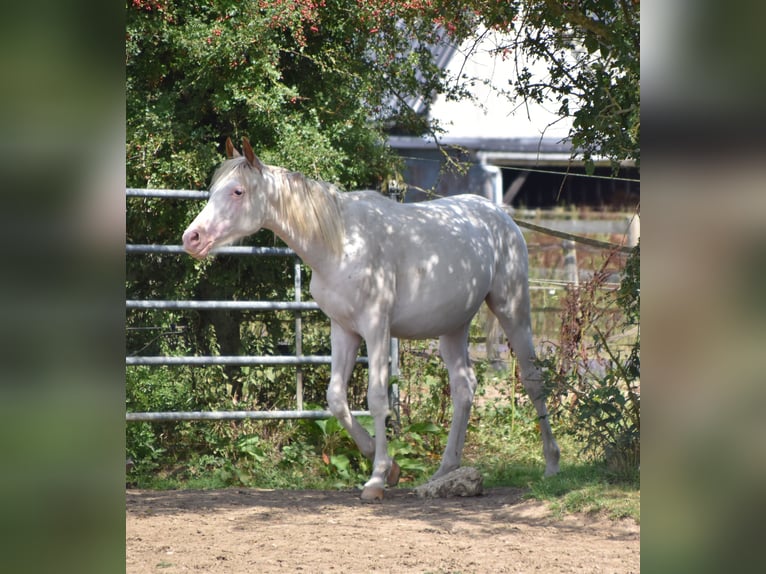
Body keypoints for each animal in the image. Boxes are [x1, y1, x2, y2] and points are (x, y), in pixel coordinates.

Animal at [183, 137, 560, 502]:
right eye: (214, 189)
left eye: (238, 191)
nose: (192, 238)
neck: (341, 244)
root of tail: (500, 216)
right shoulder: (343, 330)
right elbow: (336, 398)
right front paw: (390, 469)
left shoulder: (376, 327)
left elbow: (377, 398)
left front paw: (377, 479)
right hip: (453, 327)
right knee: (464, 388)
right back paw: (444, 471)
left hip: (512, 309)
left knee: (533, 380)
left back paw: (552, 464)